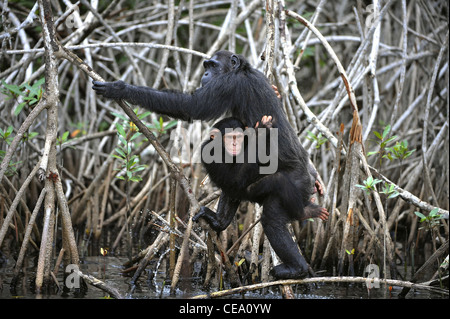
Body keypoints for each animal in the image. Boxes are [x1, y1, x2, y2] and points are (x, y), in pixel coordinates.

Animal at [93, 50, 328, 280]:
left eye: (213, 66)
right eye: (206, 66)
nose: (205, 74)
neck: (241, 71)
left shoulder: (226, 85)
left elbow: (191, 107)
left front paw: (119, 88)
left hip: (295, 187)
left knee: (272, 219)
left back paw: (296, 267)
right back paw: (219, 222)